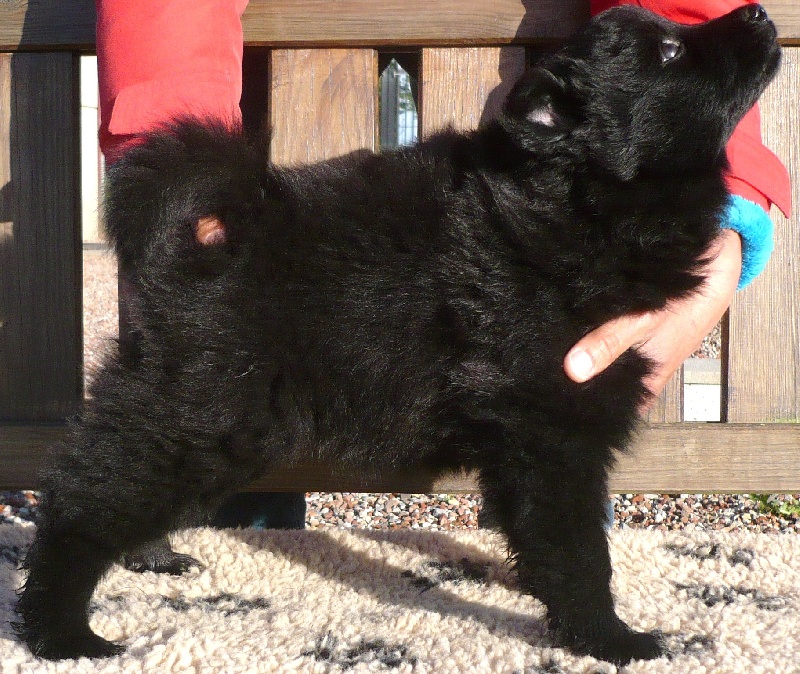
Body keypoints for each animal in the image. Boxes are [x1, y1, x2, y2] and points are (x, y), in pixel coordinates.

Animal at [16, 5, 780, 665]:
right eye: (671, 52)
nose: (759, 14)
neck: (581, 203)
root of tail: (220, 238)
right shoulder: (552, 427)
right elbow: (576, 546)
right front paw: (609, 638)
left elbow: (545, 531)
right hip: (204, 413)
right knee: (83, 501)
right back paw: (62, 631)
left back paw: (150, 559)